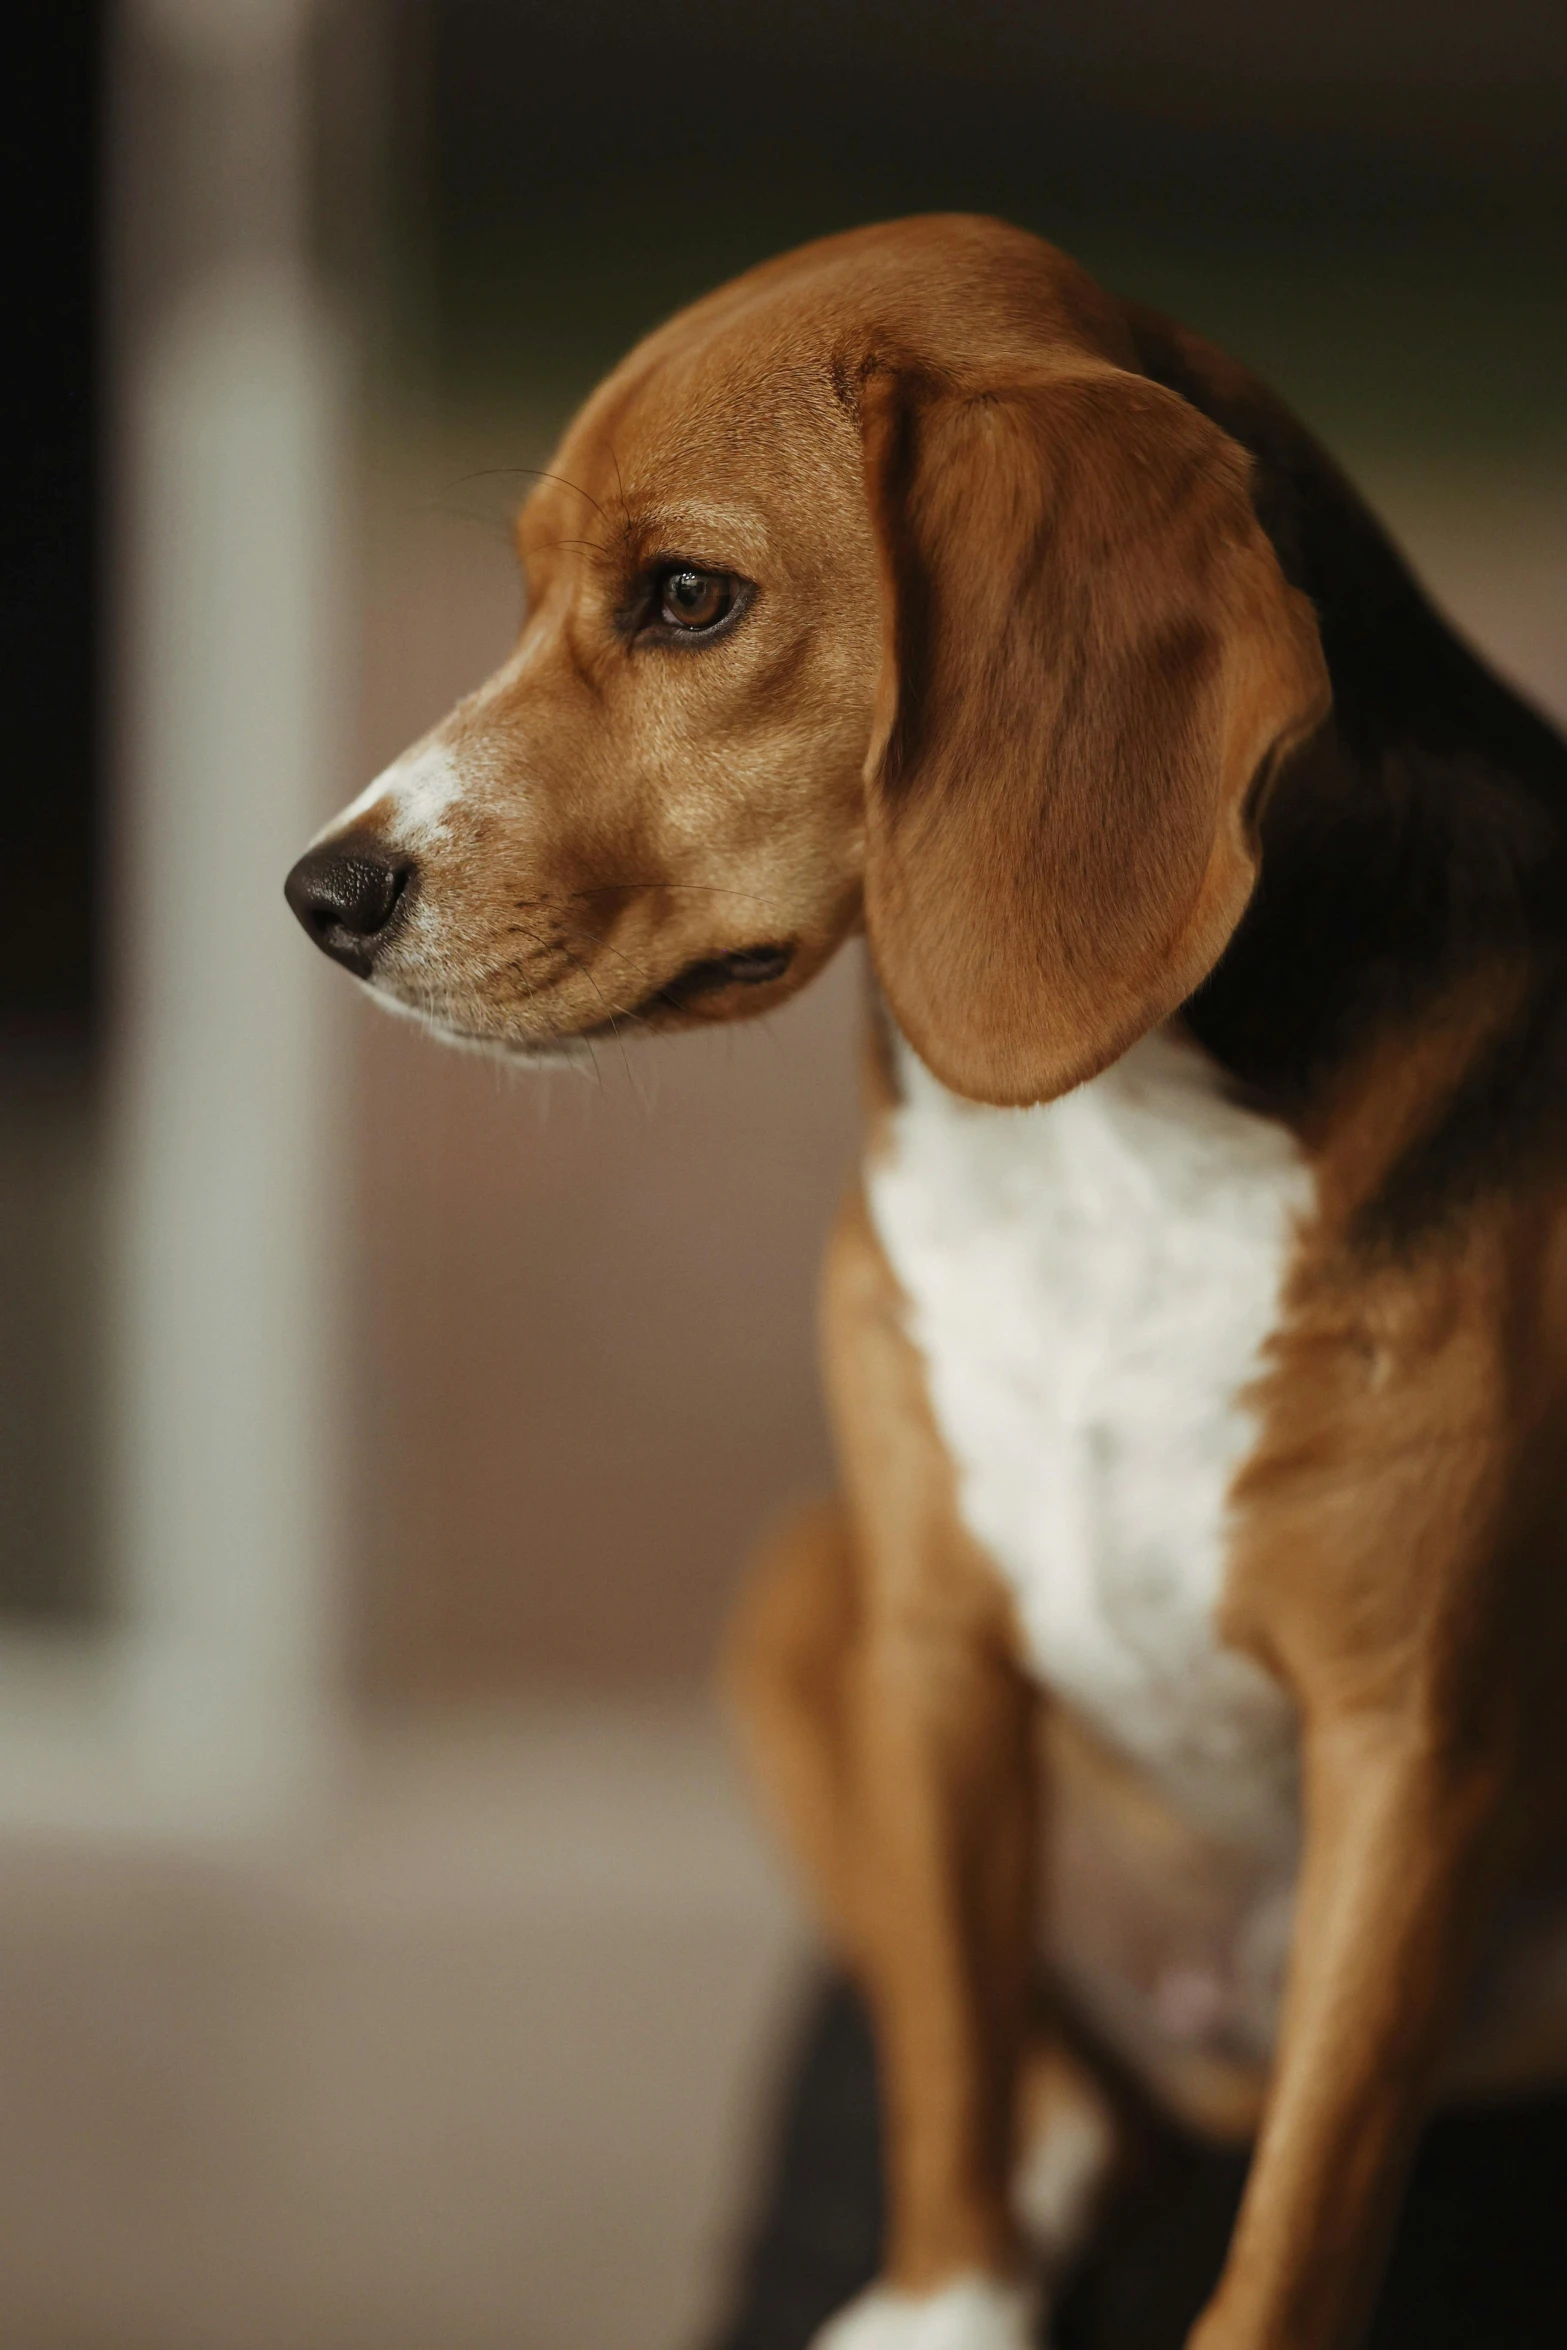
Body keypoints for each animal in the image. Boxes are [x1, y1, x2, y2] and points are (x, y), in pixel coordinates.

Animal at [287, 220, 1567, 2350]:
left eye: (688, 598)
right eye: (531, 587)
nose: (321, 895)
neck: (1107, 1137)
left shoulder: (1410, 1748)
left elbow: (1300, 2222)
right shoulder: (934, 1644)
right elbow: (952, 2048)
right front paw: (945, 2302)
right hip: (800, 1595)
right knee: (1037, 2069)